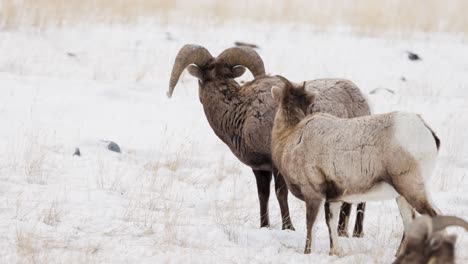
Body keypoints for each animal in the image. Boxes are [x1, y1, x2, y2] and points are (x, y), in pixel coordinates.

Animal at [167, 43, 370, 235]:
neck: (241, 111)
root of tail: (360, 96)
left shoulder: (277, 166)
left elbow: (281, 194)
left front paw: (288, 228)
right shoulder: (260, 168)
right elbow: (263, 195)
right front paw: (264, 226)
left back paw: (356, 233)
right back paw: (343, 231)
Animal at [270, 77, 442, 255]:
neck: (291, 137)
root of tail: (427, 131)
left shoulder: (313, 194)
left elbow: (311, 227)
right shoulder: (333, 198)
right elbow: (331, 225)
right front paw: (335, 253)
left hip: (412, 189)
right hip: (402, 195)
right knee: (410, 222)